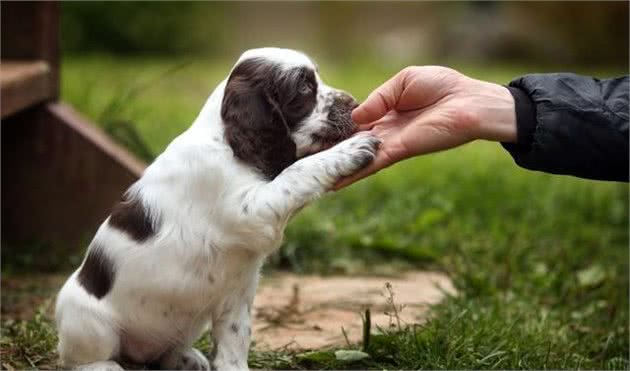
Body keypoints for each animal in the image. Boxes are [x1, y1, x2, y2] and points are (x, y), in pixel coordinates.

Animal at [55, 48, 380, 371]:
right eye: (303, 87)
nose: (355, 104)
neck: (226, 142)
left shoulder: (236, 294)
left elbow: (234, 343)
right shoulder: (251, 210)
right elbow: (296, 172)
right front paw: (350, 150)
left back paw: (187, 359)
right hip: (87, 321)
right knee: (82, 358)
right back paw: (106, 366)